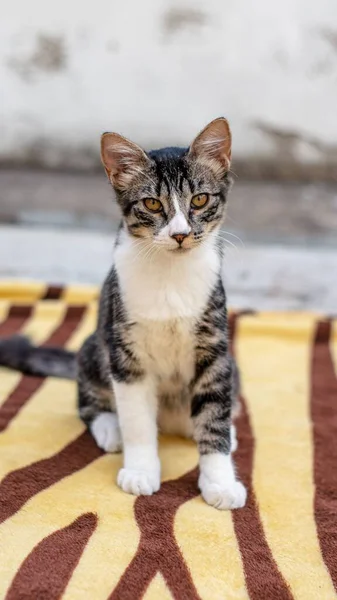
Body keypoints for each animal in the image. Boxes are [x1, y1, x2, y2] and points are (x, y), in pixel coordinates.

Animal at [0, 118, 247, 510]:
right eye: (151, 203)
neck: (170, 276)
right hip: (94, 346)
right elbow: (136, 419)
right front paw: (141, 470)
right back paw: (108, 428)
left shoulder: (215, 350)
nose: (180, 234)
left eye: (200, 199)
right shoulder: (126, 352)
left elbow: (214, 416)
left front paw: (220, 482)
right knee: (89, 401)